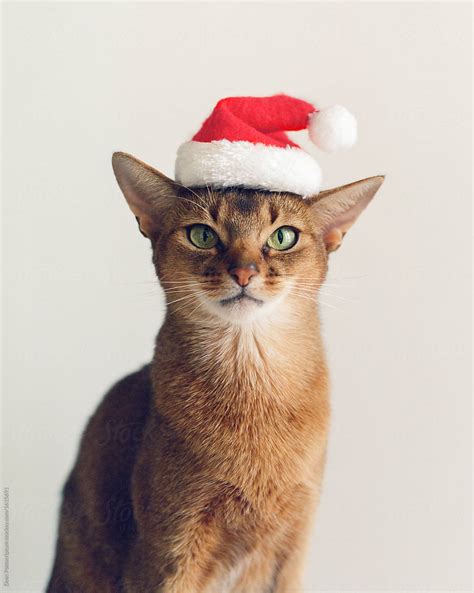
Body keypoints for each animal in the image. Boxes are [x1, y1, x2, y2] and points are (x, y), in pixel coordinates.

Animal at [46, 153, 384, 592]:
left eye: (283, 237)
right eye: (202, 235)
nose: (244, 272)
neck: (254, 391)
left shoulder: (294, 543)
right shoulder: (169, 546)